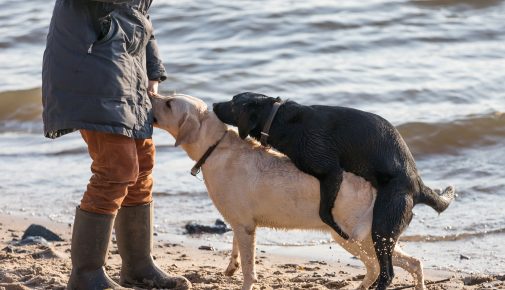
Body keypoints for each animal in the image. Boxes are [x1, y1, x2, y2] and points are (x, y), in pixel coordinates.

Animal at [211, 93, 454, 290]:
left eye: (233, 102)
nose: (213, 104)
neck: (279, 118)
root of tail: (418, 186)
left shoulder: (330, 171)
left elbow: (324, 212)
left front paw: (335, 225)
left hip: (383, 225)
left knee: (387, 273)